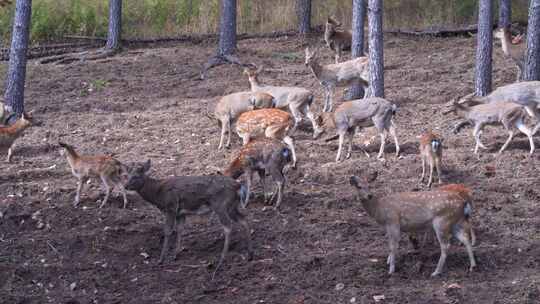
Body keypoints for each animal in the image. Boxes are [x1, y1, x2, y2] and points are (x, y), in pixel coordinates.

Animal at [122, 160, 253, 280]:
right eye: (126, 175)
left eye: (136, 176)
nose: (125, 186)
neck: (158, 194)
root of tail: (239, 186)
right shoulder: (181, 213)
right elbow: (180, 229)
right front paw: (175, 254)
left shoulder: (171, 207)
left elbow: (168, 231)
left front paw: (161, 259)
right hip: (232, 206)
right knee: (243, 220)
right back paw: (249, 253)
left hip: (220, 204)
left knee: (228, 226)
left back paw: (221, 260)